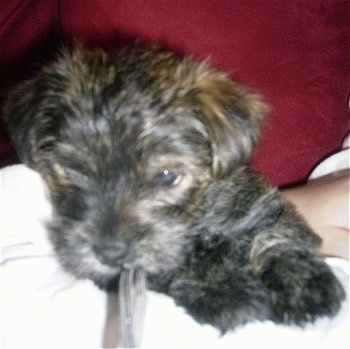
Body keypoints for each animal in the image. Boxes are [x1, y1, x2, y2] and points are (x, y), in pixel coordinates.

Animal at [3, 46, 344, 332]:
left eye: (168, 177)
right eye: (71, 170)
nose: (110, 252)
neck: (199, 217)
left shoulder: (249, 198)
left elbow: (274, 228)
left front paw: (303, 283)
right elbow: (177, 265)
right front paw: (225, 291)